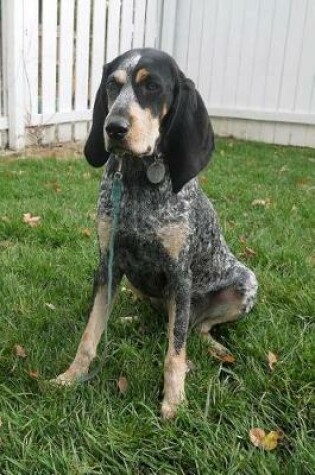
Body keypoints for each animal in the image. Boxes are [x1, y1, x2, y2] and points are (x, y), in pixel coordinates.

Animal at [55, 49, 260, 420]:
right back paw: (127, 318)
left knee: (193, 328)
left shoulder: (180, 276)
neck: (139, 178)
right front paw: (71, 376)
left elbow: (174, 354)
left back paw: (211, 344)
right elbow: (89, 335)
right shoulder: (108, 265)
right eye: (112, 85)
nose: (113, 127)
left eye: (152, 86)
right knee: (161, 317)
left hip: (245, 284)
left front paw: (174, 401)